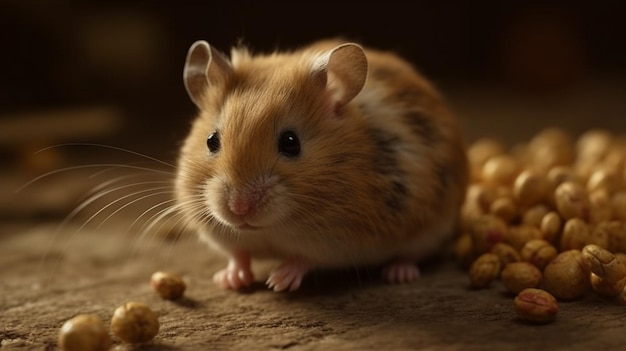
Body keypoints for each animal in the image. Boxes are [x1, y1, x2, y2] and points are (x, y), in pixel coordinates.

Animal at [173, 38, 466, 292]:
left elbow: (304, 258)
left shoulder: (338, 243)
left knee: (411, 255)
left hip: (433, 226)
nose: (239, 210)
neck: (273, 228)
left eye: (291, 142)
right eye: (212, 140)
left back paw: (399, 274)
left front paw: (277, 282)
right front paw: (230, 280)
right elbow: (238, 254)